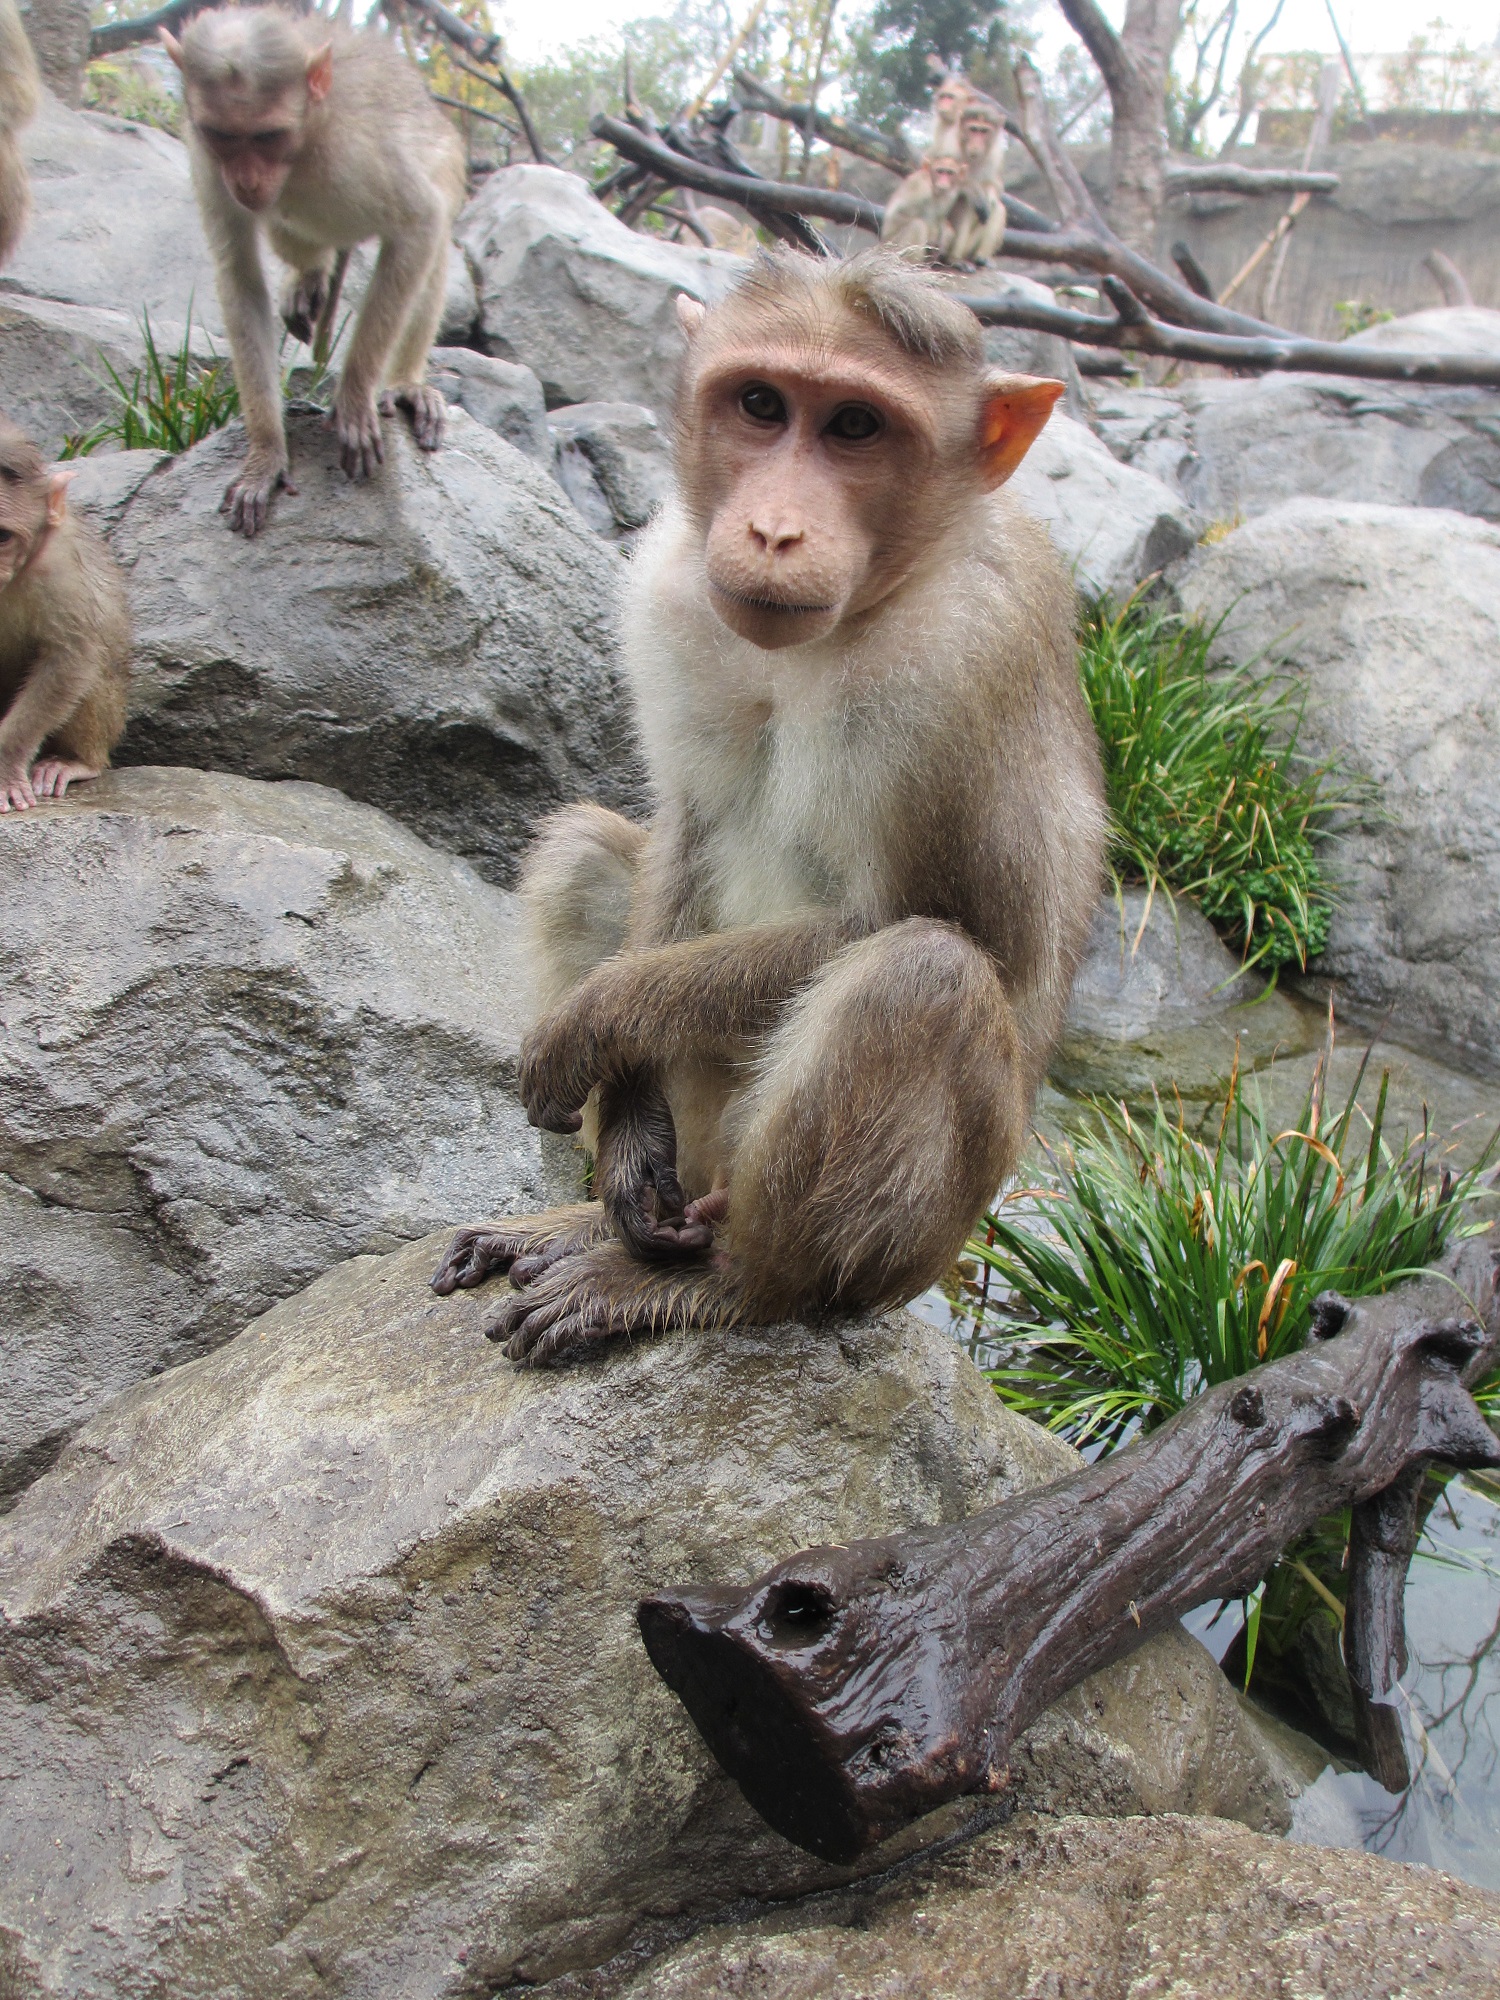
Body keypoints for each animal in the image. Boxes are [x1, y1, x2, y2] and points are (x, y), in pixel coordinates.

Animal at [162, 5, 468, 532]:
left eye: (268, 136)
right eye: (223, 136)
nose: (246, 180)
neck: (306, 142)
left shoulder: (360, 153)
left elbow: (420, 225)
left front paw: (356, 393)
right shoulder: (206, 161)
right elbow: (240, 279)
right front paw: (266, 451)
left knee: (431, 247)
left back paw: (404, 383)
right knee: (288, 230)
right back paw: (307, 276)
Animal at [428, 250, 1112, 1368]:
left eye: (856, 426)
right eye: (761, 404)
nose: (773, 529)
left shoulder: (960, 661)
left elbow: (948, 927)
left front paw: (598, 1015)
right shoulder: (668, 590)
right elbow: (686, 824)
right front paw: (626, 1126)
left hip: (917, 1241)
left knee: (918, 976)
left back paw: (723, 1285)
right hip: (710, 1152)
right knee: (586, 851)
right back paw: (590, 1221)